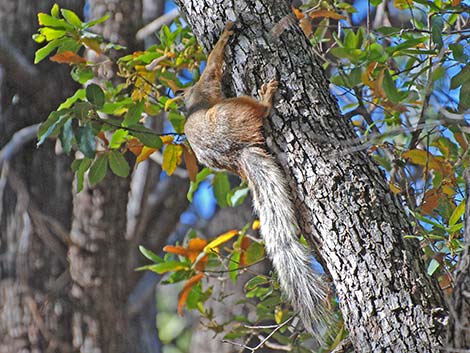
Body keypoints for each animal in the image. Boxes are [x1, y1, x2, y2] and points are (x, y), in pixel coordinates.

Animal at [182, 22, 328, 338]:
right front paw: (225, 34)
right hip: (236, 111)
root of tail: (239, 154)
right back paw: (267, 97)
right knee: (258, 111)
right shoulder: (206, 86)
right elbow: (212, 67)